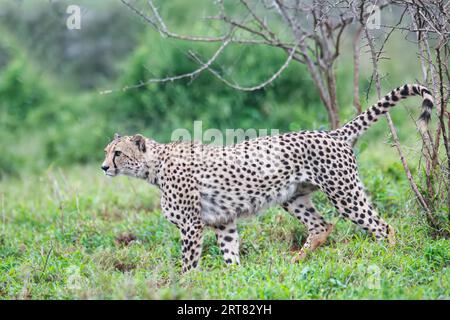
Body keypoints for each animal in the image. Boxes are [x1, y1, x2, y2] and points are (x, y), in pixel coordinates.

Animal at [101, 84, 432, 272]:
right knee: (322, 226)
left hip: (344, 193)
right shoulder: (223, 220)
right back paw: (296, 261)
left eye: (118, 153)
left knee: (382, 226)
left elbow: (189, 263)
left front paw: (186, 286)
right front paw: (234, 280)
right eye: (106, 152)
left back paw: (389, 257)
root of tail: (331, 133)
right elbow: (230, 254)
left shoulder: (191, 226)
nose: (104, 168)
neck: (154, 167)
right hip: (294, 197)